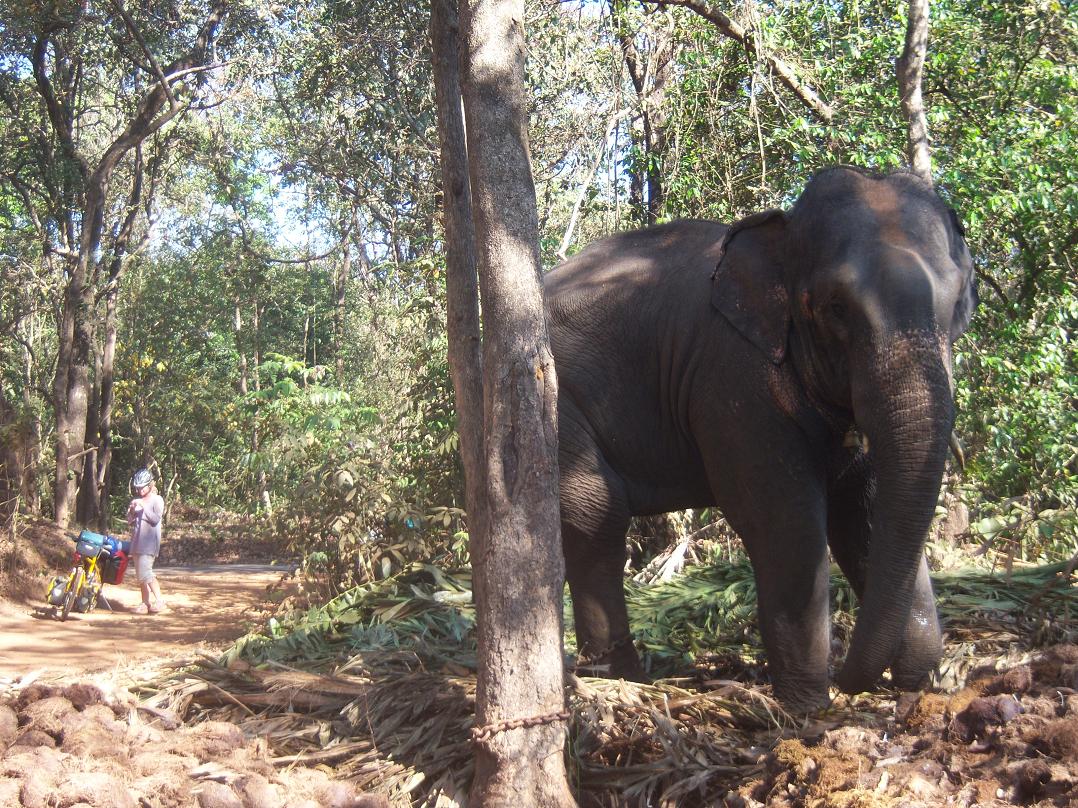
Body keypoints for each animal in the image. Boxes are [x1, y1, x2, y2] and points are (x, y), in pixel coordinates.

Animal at [544, 166, 978, 712]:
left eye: (959, 301)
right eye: (837, 307)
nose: (851, 681)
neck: (781, 231)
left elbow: (865, 512)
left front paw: (915, 685)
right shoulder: (732, 379)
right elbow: (784, 519)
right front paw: (807, 706)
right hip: (555, 399)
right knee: (595, 511)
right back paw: (621, 680)